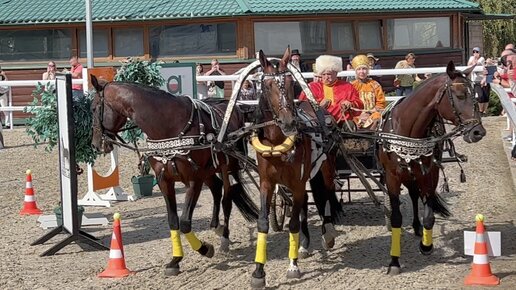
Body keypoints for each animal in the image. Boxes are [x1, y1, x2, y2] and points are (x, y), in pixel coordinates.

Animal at [89, 75, 258, 276]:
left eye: (93, 108)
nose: (95, 144)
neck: (168, 126)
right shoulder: (165, 181)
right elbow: (172, 221)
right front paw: (175, 260)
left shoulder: (193, 180)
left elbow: (184, 222)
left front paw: (204, 248)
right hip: (208, 171)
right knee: (217, 189)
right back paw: (216, 226)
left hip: (228, 166)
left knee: (227, 198)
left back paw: (224, 238)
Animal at [250, 48, 342, 286]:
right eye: (267, 85)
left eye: (292, 82)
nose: (289, 122)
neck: (277, 144)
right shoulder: (267, 183)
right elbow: (263, 223)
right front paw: (258, 271)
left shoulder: (298, 182)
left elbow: (292, 224)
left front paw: (292, 266)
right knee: (307, 200)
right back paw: (304, 244)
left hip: (326, 168)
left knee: (327, 193)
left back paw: (328, 232)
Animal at [378, 61, 484, 274]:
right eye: (460, 95)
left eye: (475, 96)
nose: (478, 132)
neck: (408, 132)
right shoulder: (392, 177)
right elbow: (395, 218)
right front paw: (394, 261)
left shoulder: (430, 174)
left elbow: (429, 216)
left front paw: (426, 246)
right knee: (412, 195)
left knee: (414, 195)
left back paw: (418, 227)